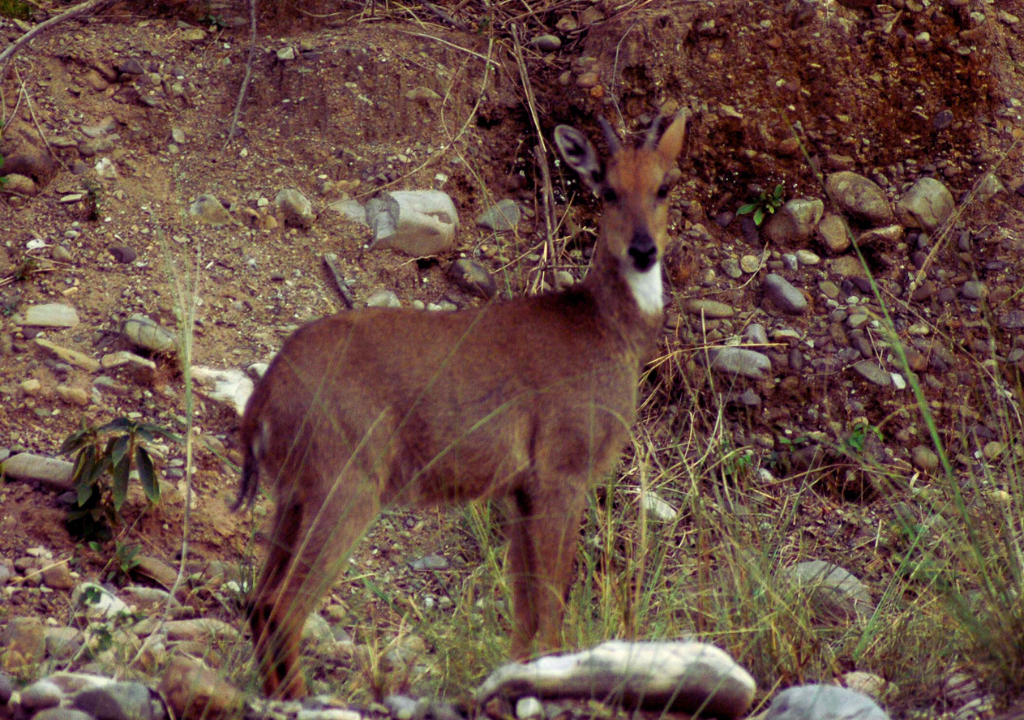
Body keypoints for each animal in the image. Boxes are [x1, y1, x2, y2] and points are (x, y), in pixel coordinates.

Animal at [234, 111, 689, 699]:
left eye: (664, 187)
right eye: (607, 189)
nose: (642, 249)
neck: (606, 330)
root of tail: (262, 403)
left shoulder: (518, 489)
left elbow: (524, 611)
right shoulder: (562, 468)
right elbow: (551, 605)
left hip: (292, 493)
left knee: (257, 598)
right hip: (346, 479)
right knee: (282, 605)